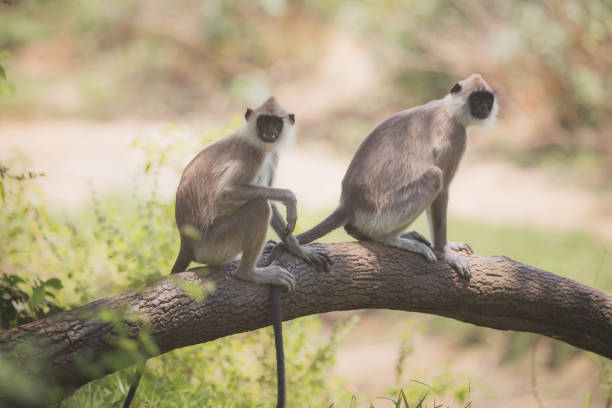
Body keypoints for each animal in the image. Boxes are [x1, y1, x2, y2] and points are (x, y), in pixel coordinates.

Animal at [123, 97, 330, 408]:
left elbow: (270, 199)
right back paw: (250, 273)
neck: (257, 142)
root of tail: (187, 242)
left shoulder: (270, 156)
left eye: (276, 122)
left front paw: (298, 248)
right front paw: (290, 199)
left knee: (261, 204)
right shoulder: (253, 155)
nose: (269, 131)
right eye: (264, 121)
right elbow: (234, 193)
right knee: (258, 207)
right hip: (215, 241)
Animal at [272, 73, 498, 278]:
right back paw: (390, 239)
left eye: (487, 100)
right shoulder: (454, 136)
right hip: (382, 213)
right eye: (477, 99)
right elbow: (443, 190)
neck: (447, 110)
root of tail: (349, 202)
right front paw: (445, 252)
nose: (485, 108)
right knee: (435, 177)